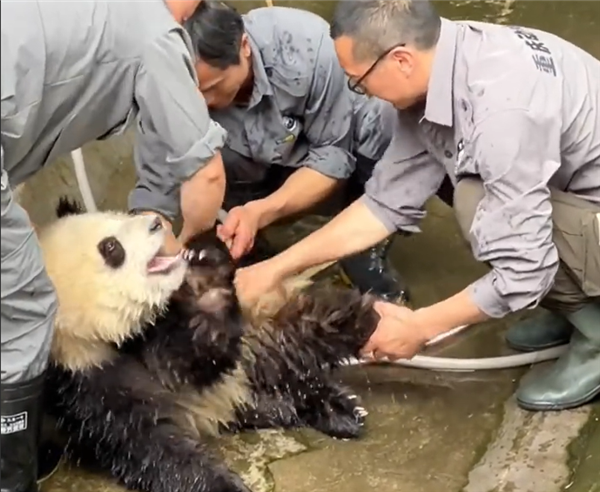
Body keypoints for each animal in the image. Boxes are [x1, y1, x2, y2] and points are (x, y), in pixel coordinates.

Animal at [41, 197, 380, 492]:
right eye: (111, 247)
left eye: (119, 215)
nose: (155, 223)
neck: (109, 341)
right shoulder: (84, 387)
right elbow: (147, 444)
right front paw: (224, 485)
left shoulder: (158, 328)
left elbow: (195, 355)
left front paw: (204, 276)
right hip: (242, 392)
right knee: (278, 385)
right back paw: (331, 405)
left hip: (255, 337)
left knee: (293, 336)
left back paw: (353, 332)